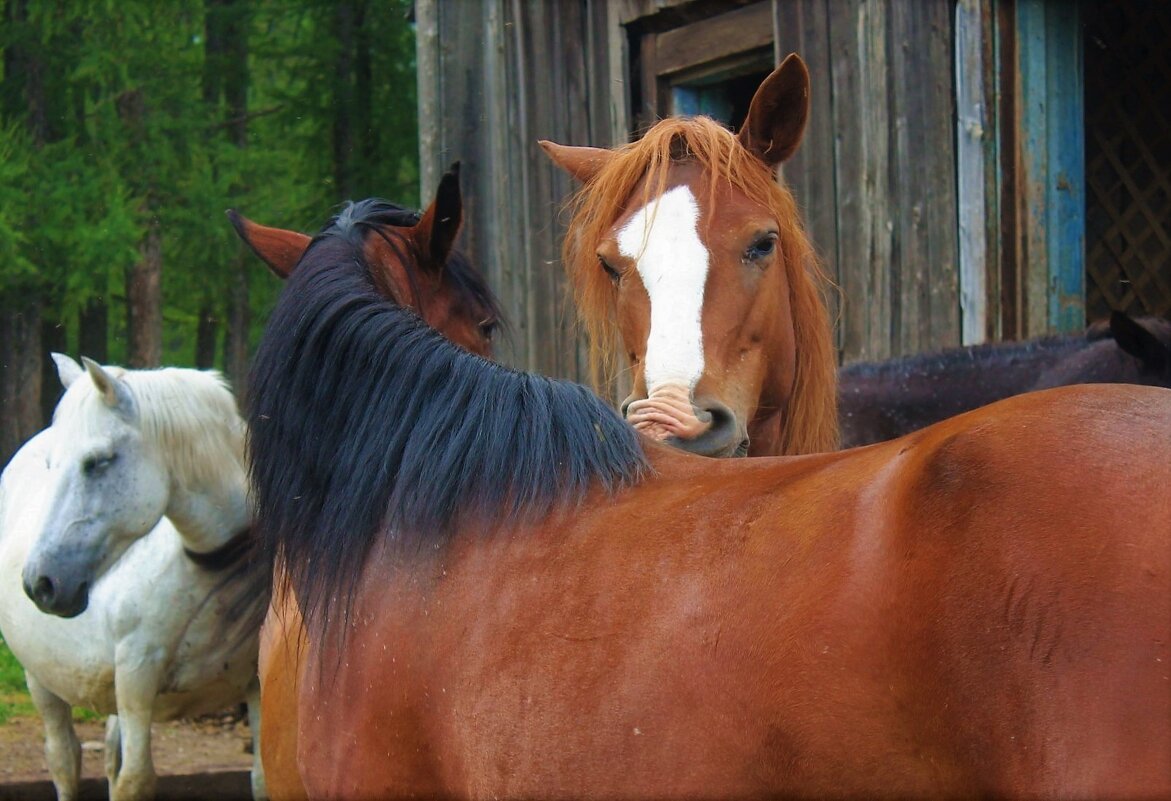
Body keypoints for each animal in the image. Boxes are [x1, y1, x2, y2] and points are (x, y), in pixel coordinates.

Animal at [0, 355, 265, 800]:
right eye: (52, 466)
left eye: (97, 461)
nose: (41, 583)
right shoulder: (136, 675)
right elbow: (136, 780)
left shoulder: (259, 684)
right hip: (41, 680)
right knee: (64, 760)